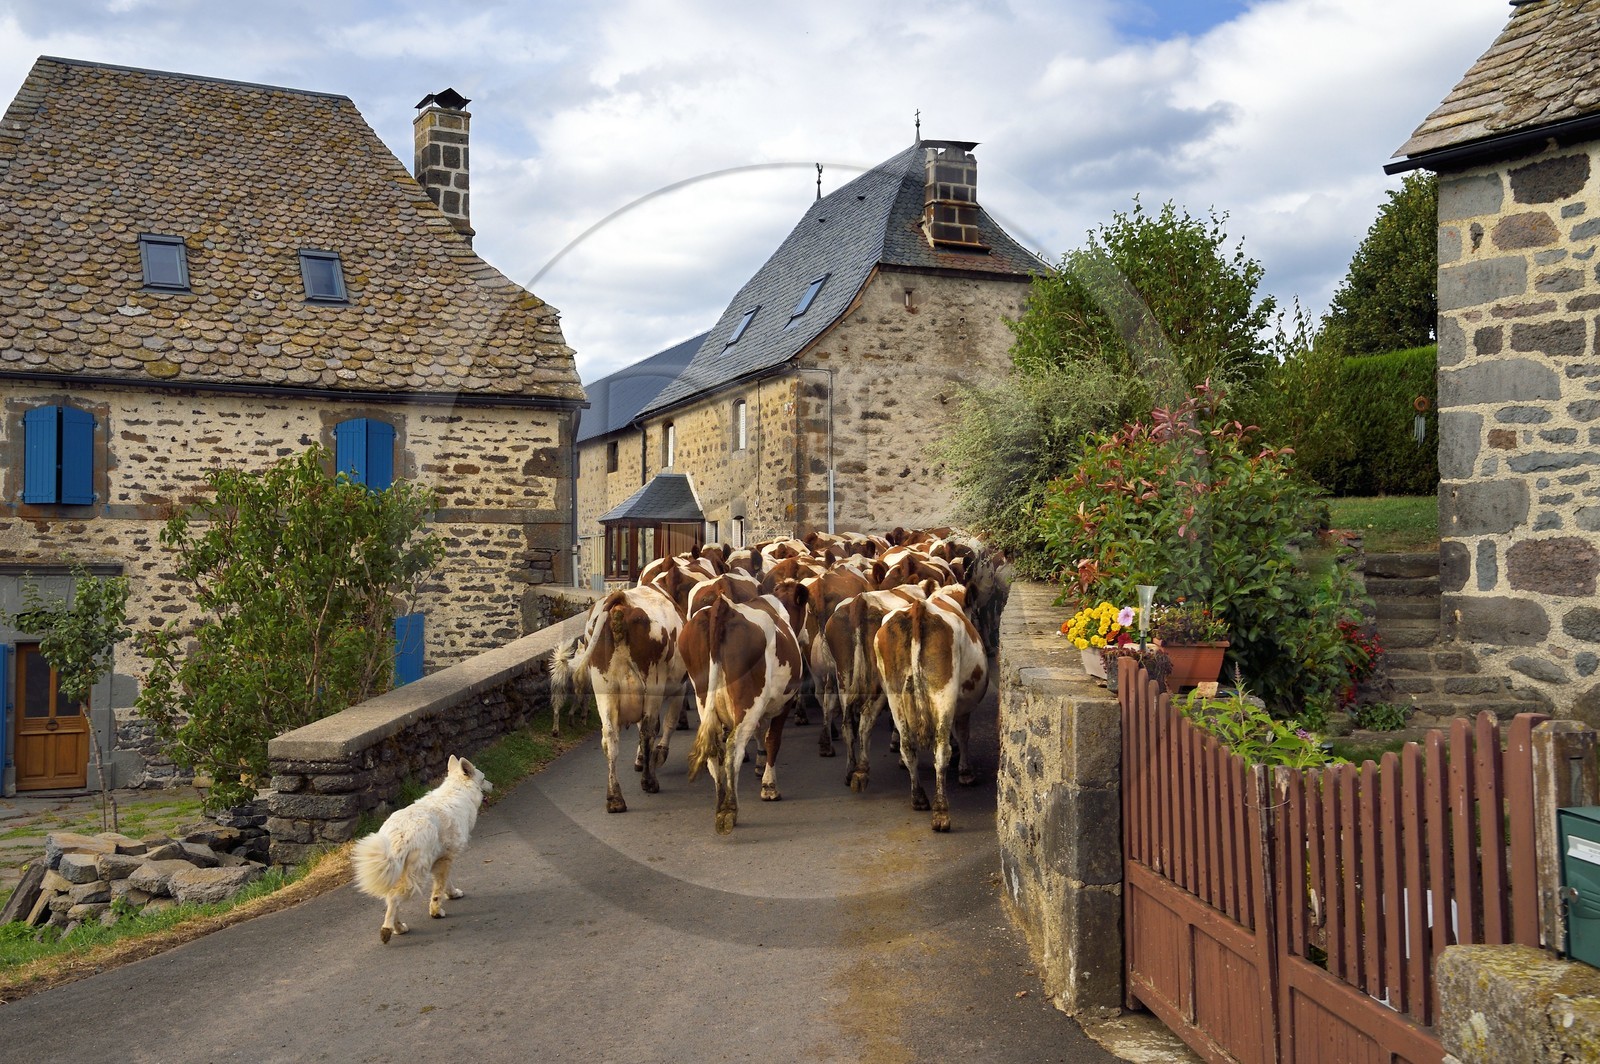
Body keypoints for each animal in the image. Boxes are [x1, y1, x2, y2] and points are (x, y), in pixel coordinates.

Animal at [874, 587, 988, 832]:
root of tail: (919, 608)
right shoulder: (963, 708)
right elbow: (963, 734)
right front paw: (966, 772)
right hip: (943, 691)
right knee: (941, 750)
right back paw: (941, 813)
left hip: (895, 695)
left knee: (907, 747)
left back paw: (918, 798)